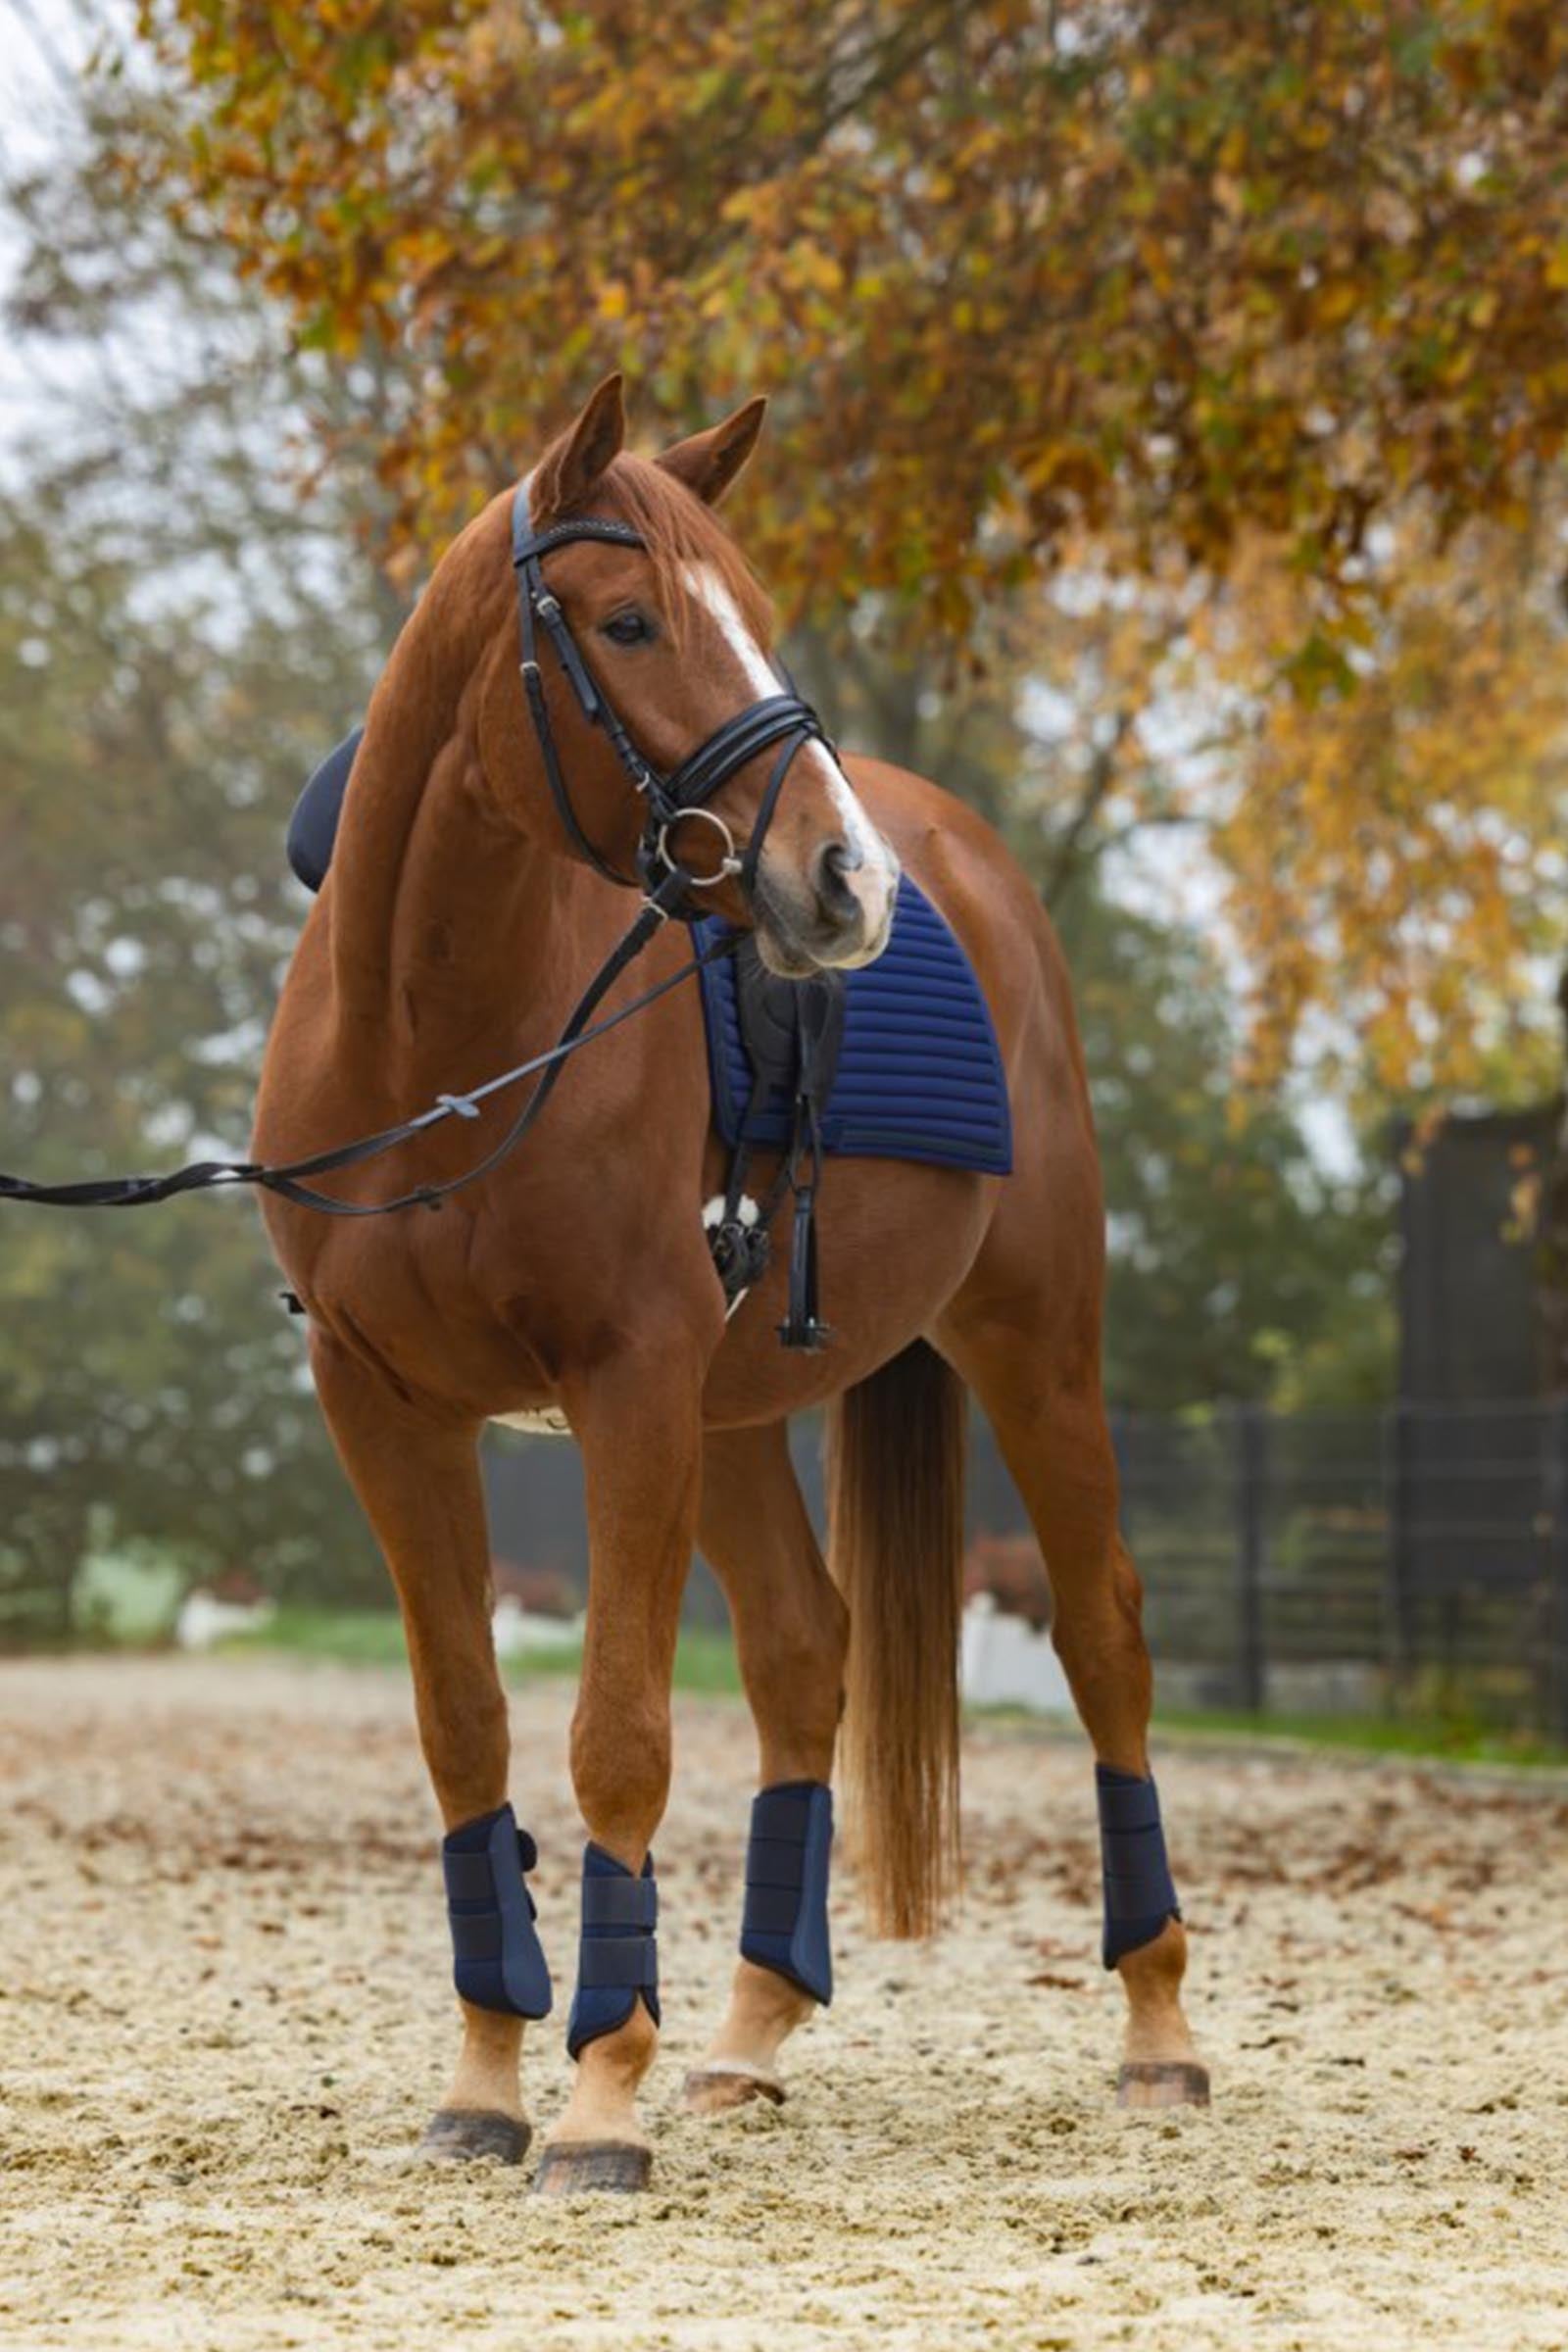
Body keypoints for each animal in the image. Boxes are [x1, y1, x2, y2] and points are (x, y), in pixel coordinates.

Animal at [251, 373, 1206, 2195]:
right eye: (629, 621)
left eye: (754, 611)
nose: (845, 885)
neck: (445, 1047)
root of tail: (970, 864)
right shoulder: (384, 1404)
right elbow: (468, 1728)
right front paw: (488, 2084)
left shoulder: (627, 1389)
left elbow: (616, 1732)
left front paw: (595, 2104)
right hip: (742, 1414)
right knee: (805, 1653)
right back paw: (751, 2037)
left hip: (1033, 1350)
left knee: (1108, 1635)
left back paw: (1158, 2030)